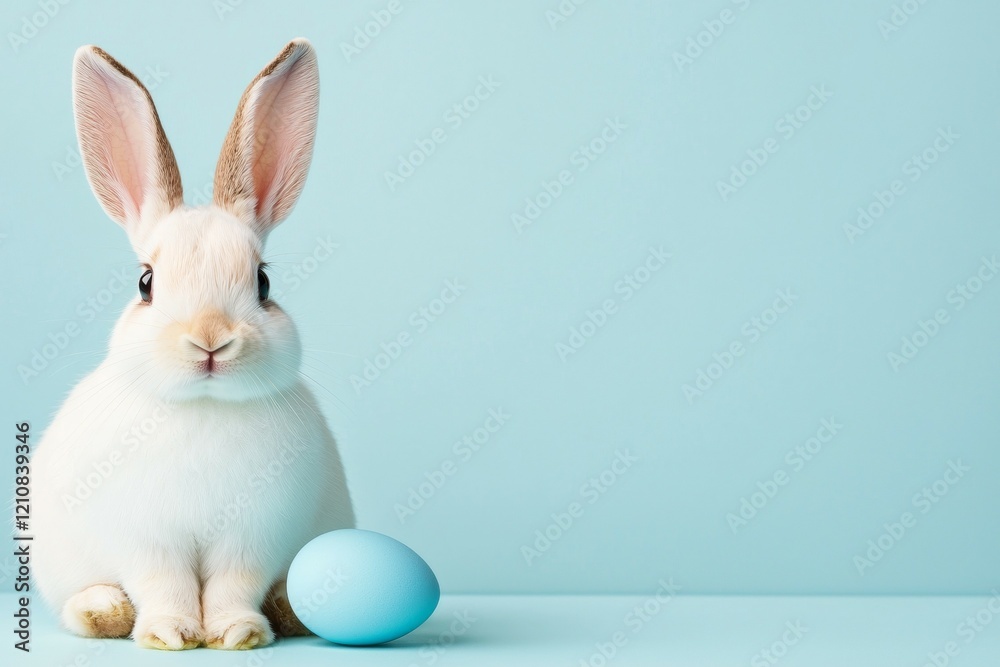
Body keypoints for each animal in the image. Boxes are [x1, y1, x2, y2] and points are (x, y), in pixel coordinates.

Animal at [31, 38, 355, 650]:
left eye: (263, 282)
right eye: (146, 283)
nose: (209, 341)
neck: (204, 407)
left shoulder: (254, 537)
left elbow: (234, 584)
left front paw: (236, 633)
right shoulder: (147, 540)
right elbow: (165, 584)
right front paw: (170, 634)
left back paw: (288, 610)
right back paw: (102, 611)